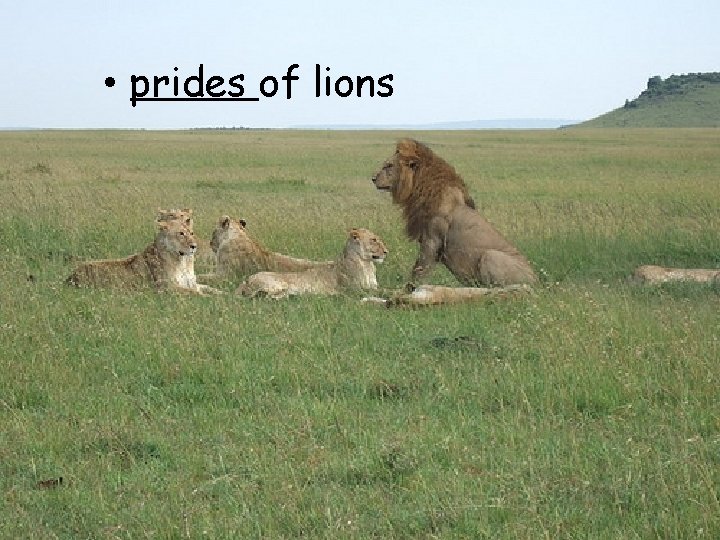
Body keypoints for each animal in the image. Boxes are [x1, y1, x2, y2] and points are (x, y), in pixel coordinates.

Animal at [66, 220, 221, 294]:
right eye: (181, 233)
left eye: (192, 233)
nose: (194, 246)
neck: (182, 262)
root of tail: (70, 277)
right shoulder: (165, 288)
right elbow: (196, 293)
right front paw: (209, 299)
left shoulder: (192, 283)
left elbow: (210, 288)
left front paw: (223, 295)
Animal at [237, 228, 387, 299]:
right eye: (374, 240)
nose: (387, 252)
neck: (367, 264)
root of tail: (247, 280)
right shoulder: (355, 290)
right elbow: (384, 291)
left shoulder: (370, 286)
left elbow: (383, 289)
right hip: (278, 284)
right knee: (260, 296)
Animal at [372, 139, 537, 287]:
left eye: (389, 166)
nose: (373, 178)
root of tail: (538, 281)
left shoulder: (432, 240)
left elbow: (419, 270)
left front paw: (405, 290)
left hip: (491, 256)